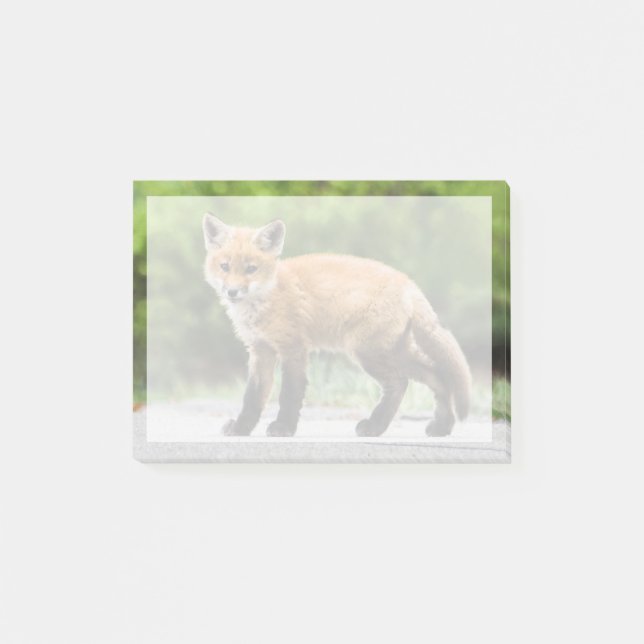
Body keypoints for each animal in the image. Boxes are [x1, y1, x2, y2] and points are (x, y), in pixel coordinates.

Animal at [202, 214, 472, 438]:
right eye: (225, 267)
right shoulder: (261, 351)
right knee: (437, 376)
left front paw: (284, 428)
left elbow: (289, 394)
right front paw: (241, 428)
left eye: (251, 269)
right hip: (395, 352)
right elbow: (253, 397)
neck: (266, 298)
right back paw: (441, 426)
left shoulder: (293, 349)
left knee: (400, 383)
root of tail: (408, 283)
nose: (232, 292)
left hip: (369, 352)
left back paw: (374, 427)